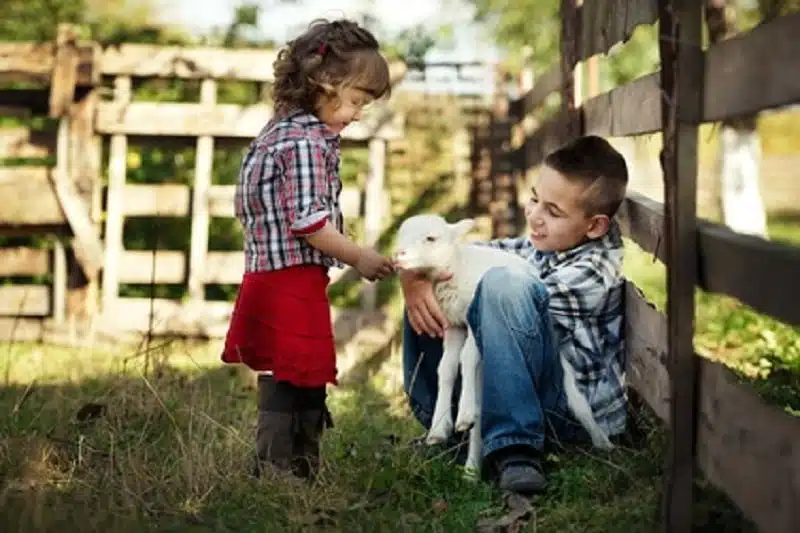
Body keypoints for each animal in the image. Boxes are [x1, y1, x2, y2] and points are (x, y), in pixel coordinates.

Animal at [394, 214, 612, 476]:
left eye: (430, 238)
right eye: (401, 235)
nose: (399, 255)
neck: (458, 267)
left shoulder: (473, 316)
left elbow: (466, 358)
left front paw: (463, 414)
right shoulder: (453, 325)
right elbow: (445, 368)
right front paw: (439, 427)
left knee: (578, 402)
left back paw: (604, 444)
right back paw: (472, 469)